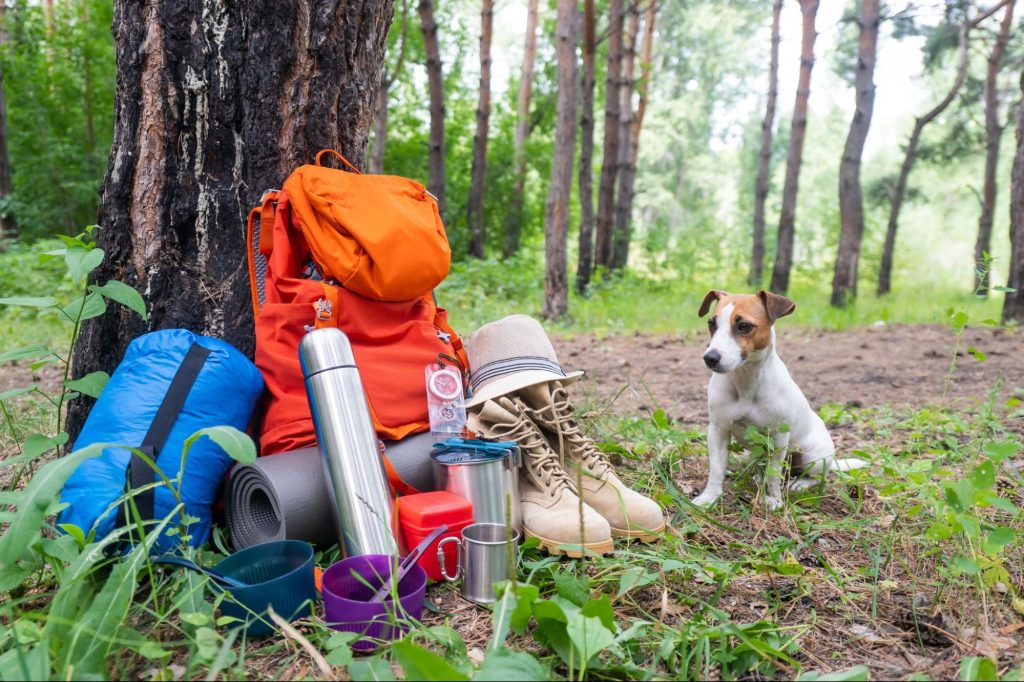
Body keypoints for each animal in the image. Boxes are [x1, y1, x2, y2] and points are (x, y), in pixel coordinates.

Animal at [692, 288, 868, 507]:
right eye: (711, 324)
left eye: (743, 326)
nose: (710, 358)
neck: (746, 382)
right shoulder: (718, 431)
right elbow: (716, 469)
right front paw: (709, 497)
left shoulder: (778, 437)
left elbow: (774, 474)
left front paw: (773, 499)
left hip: (813, 456)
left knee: (812, 475)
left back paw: (799, 483)